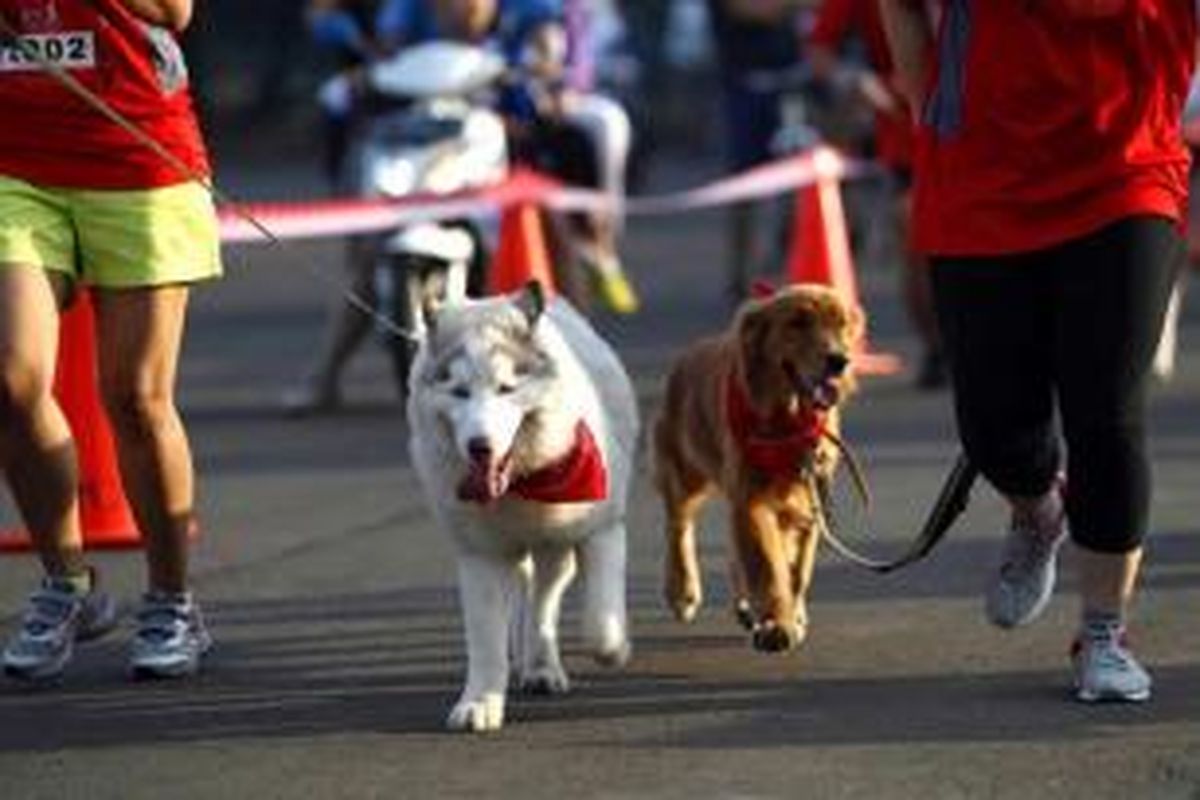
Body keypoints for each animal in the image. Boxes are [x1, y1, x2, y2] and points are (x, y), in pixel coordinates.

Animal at [408, 281, 643, 734]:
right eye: (459, 392)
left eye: (506, 389)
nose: (479, 447)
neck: (521, 483)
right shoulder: (481, 555)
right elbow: (485, 642)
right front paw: (480, 701)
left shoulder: (602, 530)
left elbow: (598, 624)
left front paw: (616, 649)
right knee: (528, 592)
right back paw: (527, 662)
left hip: (556, 544)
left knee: (543, 599)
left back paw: (541, 666)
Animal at [652, 284, 859, 652]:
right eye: (797, 322)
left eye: (841, 324)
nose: (839, 361)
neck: (787, 420)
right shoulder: (751, 499)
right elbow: (768, 564)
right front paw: (776, 623)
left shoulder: (808, 496)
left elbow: (796, 571)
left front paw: (790, 615)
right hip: (684, 470)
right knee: (678, 525)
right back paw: (682, 591)